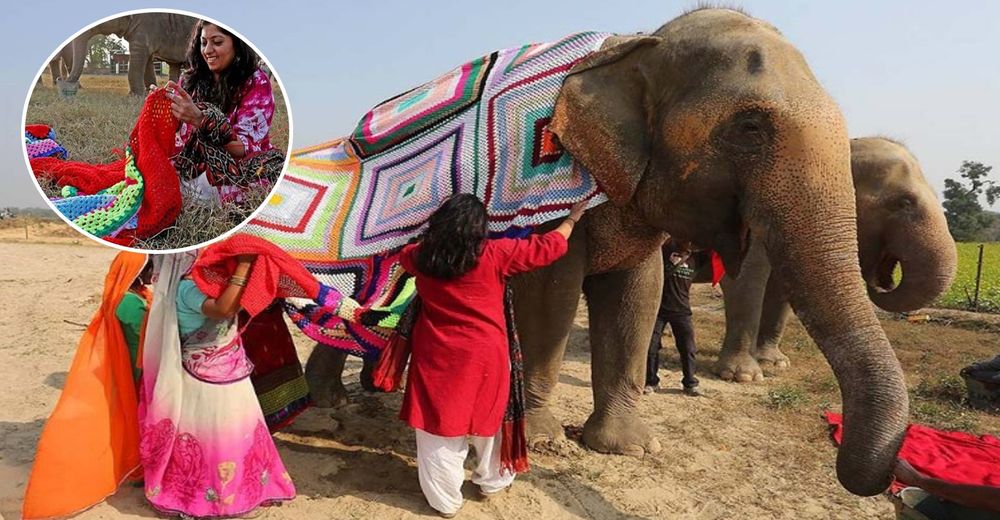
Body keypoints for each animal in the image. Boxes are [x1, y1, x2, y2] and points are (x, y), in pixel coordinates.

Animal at [59, 12, 196, 96]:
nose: (61, 80)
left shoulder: (146, 26)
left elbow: (139, 55)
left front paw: (135, 96)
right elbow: (147, 60)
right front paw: (150, 93)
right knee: (175, 66)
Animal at [306, 9, 916, 496]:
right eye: (749, 127)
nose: (887, 478)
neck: (635, 46)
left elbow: (637, 294)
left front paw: (628, 448)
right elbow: (550, 292)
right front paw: (544, 441)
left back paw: (348, 398)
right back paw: (329, 411)